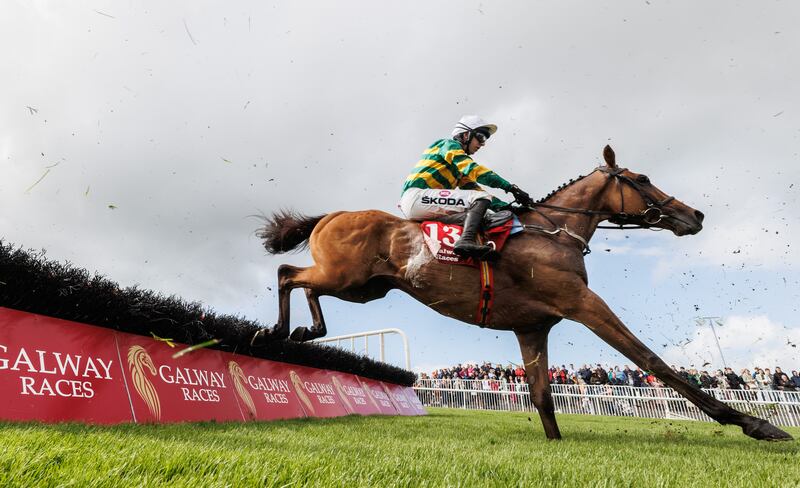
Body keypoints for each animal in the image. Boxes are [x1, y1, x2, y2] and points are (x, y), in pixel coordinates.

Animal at [253, 147, 792, 440]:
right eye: (641, 178)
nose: (694, 215)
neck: (555, 234)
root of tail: (330, 214)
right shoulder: (583, 305)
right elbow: (654, 362)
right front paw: (756, 425)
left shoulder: (533, 326)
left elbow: (541, 394)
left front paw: (556, 444)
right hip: (345, 276)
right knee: (286, 272)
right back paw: (277, 332)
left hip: (367, 290)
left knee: (301, 281)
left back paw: (304, 331)